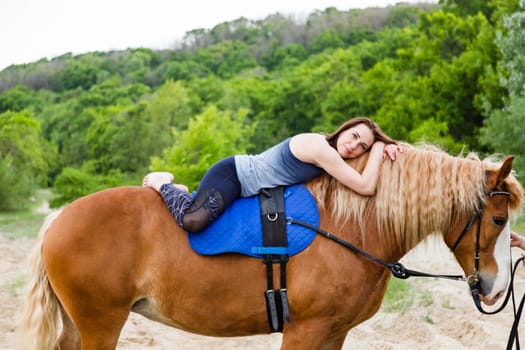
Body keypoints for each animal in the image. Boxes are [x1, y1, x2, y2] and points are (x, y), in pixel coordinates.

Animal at [18, 144, 520, 348]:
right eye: (498, 218)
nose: (495, 287)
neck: (350, 227)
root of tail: (60, 219)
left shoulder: (334, 334)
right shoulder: (306, 331)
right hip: (101, 325)